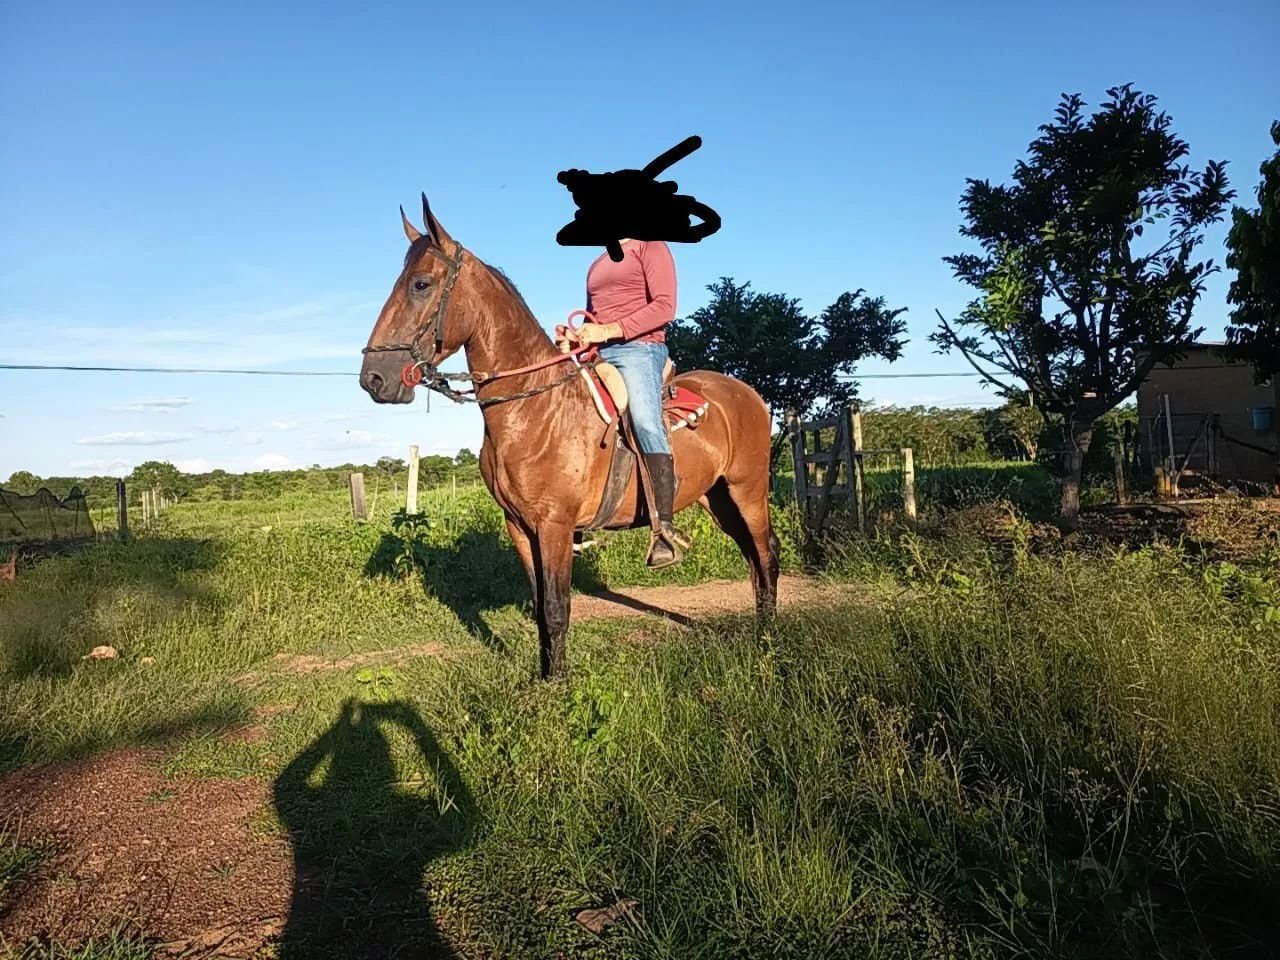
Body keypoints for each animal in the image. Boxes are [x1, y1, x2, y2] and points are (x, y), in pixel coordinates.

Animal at [360, 196, 778, 679]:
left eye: (421, 284)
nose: (374, 378)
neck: (534, 409)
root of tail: (747, 394)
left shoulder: (555, 526)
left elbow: (558, 608)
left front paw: (558, 685)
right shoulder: (520, 528)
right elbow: (541, 608)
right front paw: (543, 679)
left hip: (748, 491)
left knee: (767, 554)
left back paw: (768, 642)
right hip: (718, 499)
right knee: (753, 558)